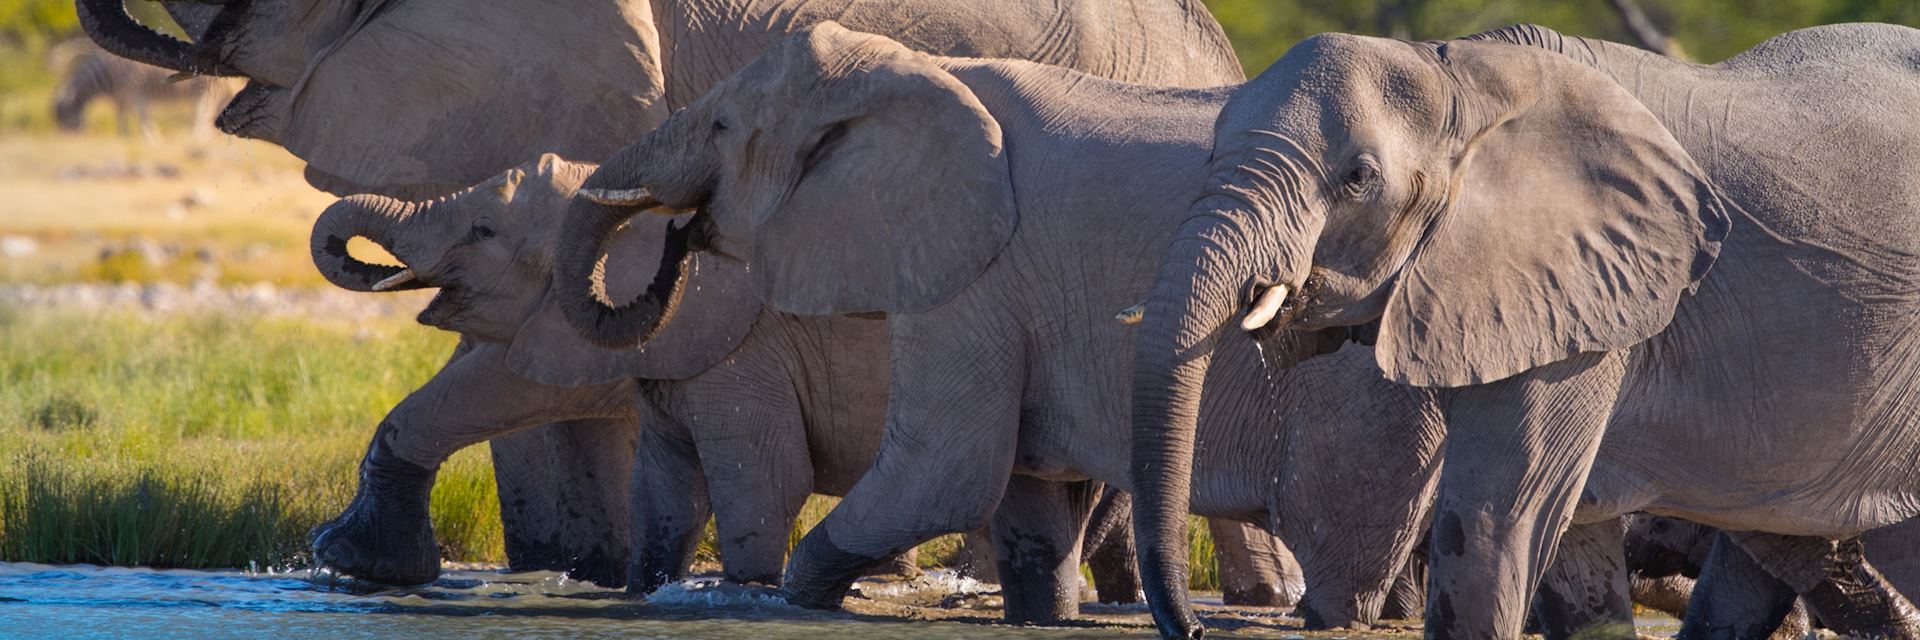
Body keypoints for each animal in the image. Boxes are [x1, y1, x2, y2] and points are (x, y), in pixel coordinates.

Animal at [52, 40, 234, 139]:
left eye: (64, 119)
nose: (68, 138)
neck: (108, 74)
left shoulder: (135, 92)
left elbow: (142, 117)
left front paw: (152, 138)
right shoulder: (120, 97)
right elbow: (121, 117)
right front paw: (123, 136)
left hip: (204, 94)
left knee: (201, 115)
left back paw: (197, 136)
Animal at [549, 22, 1443, 626]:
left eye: (724, 129)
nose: (677, 239)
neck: (923, 73)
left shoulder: (976, 276)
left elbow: (941, 473)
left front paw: (788, 602)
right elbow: (1030, 498)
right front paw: (1043, 617)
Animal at [1121, 19, 1920, 638]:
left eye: (1358, 177)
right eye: (1211, 154)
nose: (1195, 628)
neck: (1458, 77)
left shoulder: (1594, 301)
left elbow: (1495, 517)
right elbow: (1569, 550)